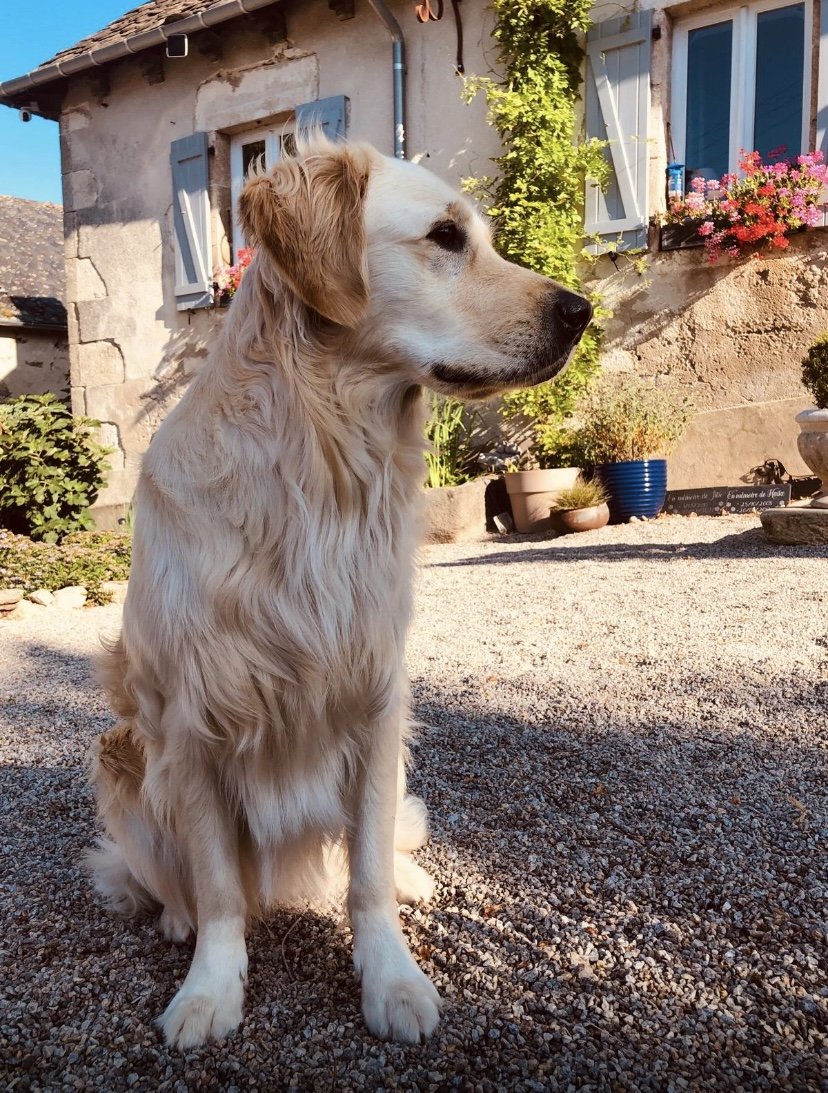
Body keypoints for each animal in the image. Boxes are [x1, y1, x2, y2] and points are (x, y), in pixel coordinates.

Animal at [87, 135, 592, 1049]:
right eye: (445, 237)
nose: (582, 310)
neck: (322, 472)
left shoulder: (377, 699)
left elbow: (365, 873)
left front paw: (390, 976)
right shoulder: (191, 722)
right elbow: (219, 887)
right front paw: (210, 989)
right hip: (120, 758)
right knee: (170, 877)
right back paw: (175, 918)